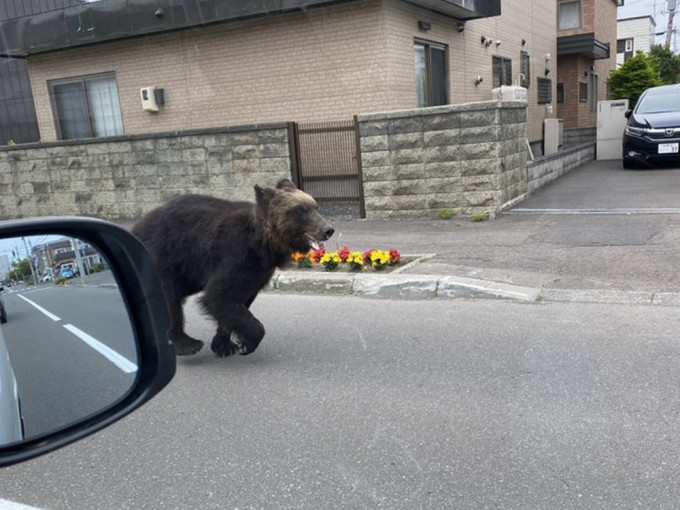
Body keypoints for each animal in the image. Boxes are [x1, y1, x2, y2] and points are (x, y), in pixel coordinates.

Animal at [131, 181, 334, 356]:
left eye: (315, 206)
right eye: (300, 210)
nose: (328, 230)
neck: (264, 244)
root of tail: (136, 227)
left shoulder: (257, 271)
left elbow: (234, 302)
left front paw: (224, 344)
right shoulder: (235, 255)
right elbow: (219, 295)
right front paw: (247, 343)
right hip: (163, 257)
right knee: (169, 299)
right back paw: (187, 343)